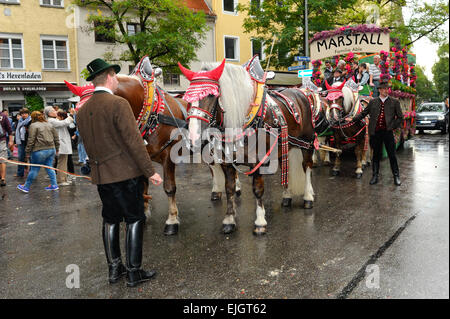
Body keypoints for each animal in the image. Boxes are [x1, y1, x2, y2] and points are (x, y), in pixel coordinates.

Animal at [178, 57, 318, 236]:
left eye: (210, 94)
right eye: (187, 98)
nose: (193, 137)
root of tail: (300, 92)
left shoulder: (258, 161)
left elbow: (257, 190)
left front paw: (260, 222)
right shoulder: (227, 163)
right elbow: (229, 189)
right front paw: (229, 220)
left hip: (307, 142)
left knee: (306, 167)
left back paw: (308, 197)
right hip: (284, 145)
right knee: (284, 165)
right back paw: (287, 195)